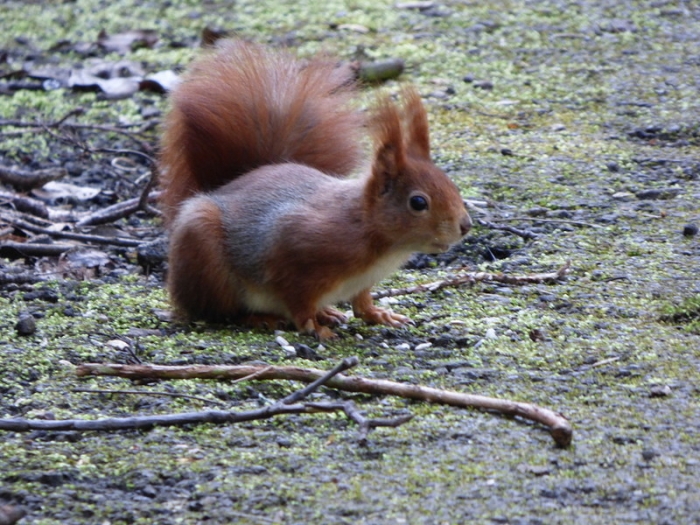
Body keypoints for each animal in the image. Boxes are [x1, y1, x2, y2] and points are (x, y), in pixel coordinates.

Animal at [159, 39, 472, 340]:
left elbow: (362, 303)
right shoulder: (295, 253)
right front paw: (314, 326)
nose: (465, 226)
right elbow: (297, 301)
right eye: (418, 202)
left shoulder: (361, 282)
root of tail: (223, 187)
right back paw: (261, 318)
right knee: (219, 311)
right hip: (205, 255)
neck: (369, 230)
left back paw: (328, 311)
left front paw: (378, 315)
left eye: (451, 184)